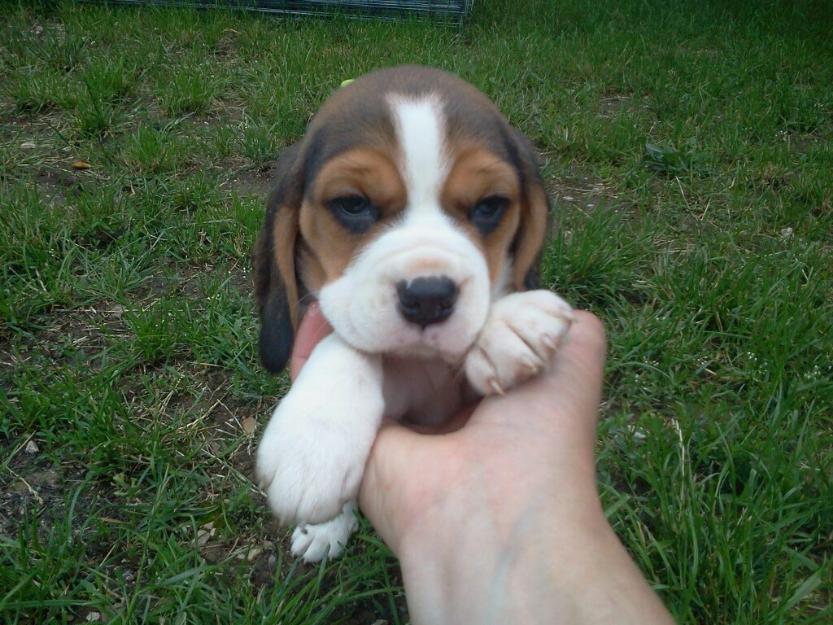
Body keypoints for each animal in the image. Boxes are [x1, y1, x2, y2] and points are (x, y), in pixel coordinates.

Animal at [252, 66, 572, 564]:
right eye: (353, 203)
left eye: (489, 205)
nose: (428, 297)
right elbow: (343, 339)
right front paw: (313, 440)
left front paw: (508, 323)